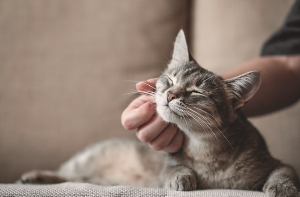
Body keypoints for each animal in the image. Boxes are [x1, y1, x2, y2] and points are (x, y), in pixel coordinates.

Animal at [19, 29, 298, 197]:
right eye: (170, 79)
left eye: (196, 91)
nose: (170, 94)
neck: (206, 150)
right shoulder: (169, 164)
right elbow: (175, 168)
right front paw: (182, 177)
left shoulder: (276, 162)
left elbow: (285, 173)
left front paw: (281, 187)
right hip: (86, 160)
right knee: (68, 174)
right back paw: (34, 176)